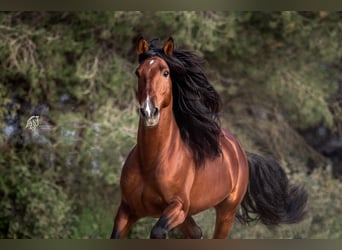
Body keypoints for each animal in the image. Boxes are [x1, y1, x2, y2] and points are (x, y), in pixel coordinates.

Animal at [111, 36, 308, 238]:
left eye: (166, 73)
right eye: (138, 73)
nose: (149, 112)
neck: (151, 162)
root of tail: (240, 152)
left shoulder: (177, 207)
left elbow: (158, 232)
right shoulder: (127, 210)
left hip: (226, 211)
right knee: (196, 233)